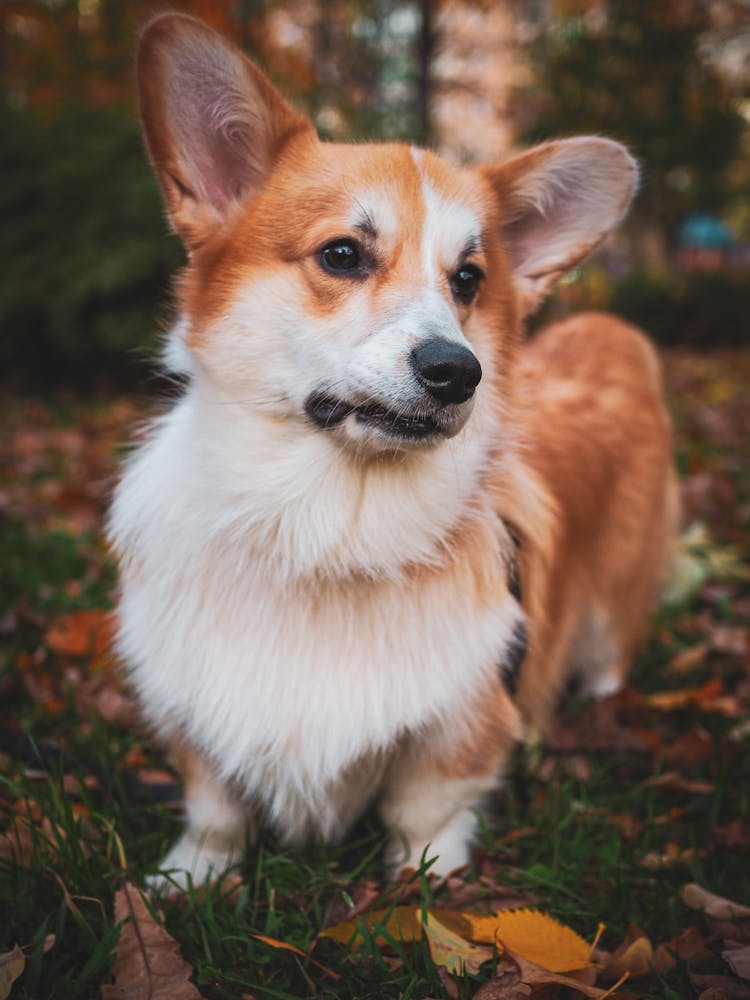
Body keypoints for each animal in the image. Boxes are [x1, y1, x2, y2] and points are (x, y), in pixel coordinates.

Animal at [111, 13, 680, 892]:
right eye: (343, 254)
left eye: (469, 279)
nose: (457, 371)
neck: (326, 528)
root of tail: (607, 331)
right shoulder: (193, 711)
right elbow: (213, 807)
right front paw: (187, 880)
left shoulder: (463, 725)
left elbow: (426, 814)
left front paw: (424, 890)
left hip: (612, 606)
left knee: (606, 658)